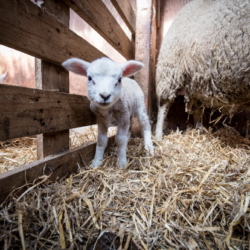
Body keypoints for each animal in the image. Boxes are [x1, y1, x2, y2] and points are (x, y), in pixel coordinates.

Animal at [154, 0, 250, 140]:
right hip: (169, 70)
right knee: (164, 105)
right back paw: (158, 136)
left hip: (196, 80)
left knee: (197, 108)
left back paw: (199, 131)